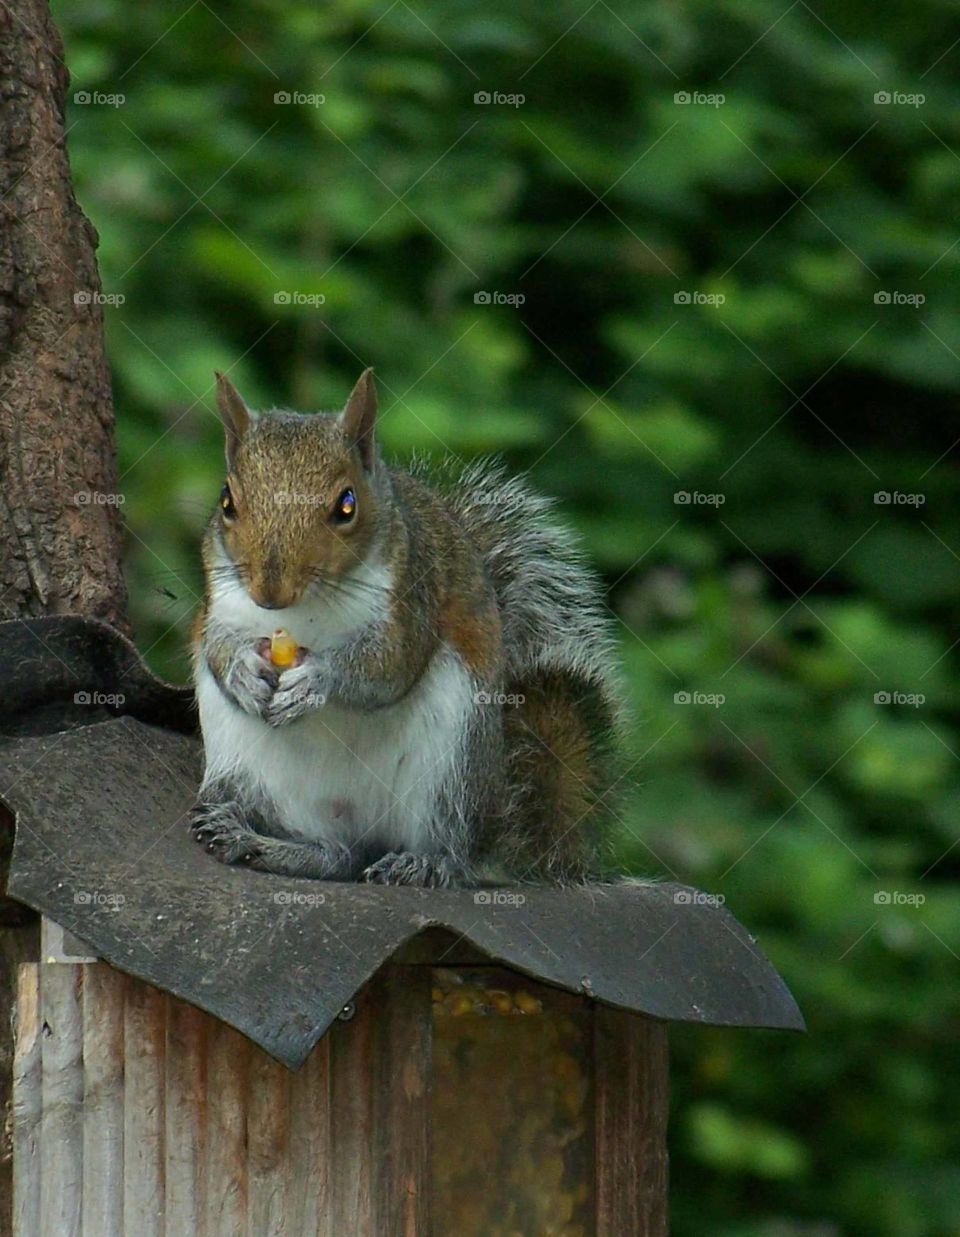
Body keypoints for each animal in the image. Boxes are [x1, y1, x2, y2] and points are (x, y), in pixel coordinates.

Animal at [189, 368, 622, 887]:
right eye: (227, 501)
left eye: (347, 505)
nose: (270, 593)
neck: (302, 615)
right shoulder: (222, 602)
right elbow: (214, 643)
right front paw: (242, 671)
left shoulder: (412, 599)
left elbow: (388, 668)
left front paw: (318, 679)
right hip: (250, 771)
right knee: (334, 855)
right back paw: (252, 838)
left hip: (449, 772)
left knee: (447, 853)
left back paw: (424, 863)